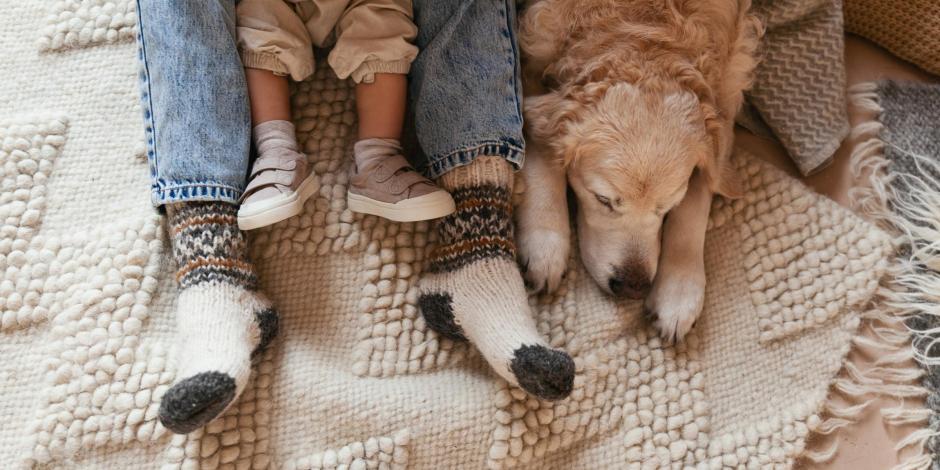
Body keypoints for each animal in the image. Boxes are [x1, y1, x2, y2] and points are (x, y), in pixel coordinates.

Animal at [516, 0, 764, 340]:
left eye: (667, 206)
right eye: (603, 199)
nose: (632, 287)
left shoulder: (728, 85)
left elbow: (699, 195)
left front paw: (679, 292)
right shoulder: (530, 56)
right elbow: (542, 145)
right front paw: (545, 242)